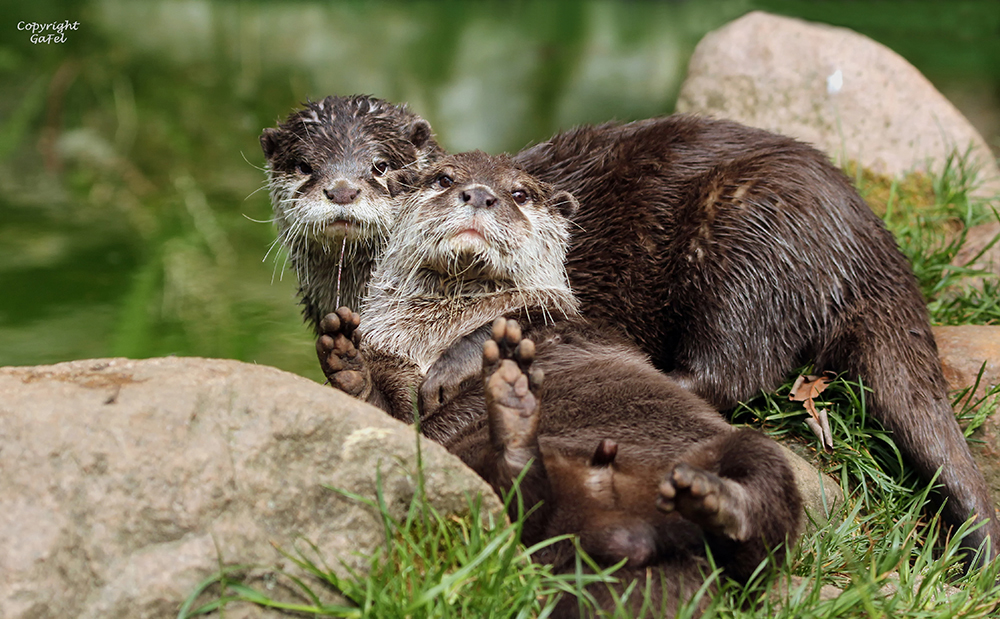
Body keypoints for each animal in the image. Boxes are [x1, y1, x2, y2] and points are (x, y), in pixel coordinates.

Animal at [320, 153, 804, 616]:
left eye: (519, 193)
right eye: (443, 178)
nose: (479, 195)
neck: (436, 329)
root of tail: (628, 534)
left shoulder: (575, 321)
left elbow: (522, 320)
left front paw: (464, 364)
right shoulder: (392, 360)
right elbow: (390, 412)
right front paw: (345, 359)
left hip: (747, 452)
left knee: (756, 544)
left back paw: (714, 499)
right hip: (471, 472)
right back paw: (516, 421)